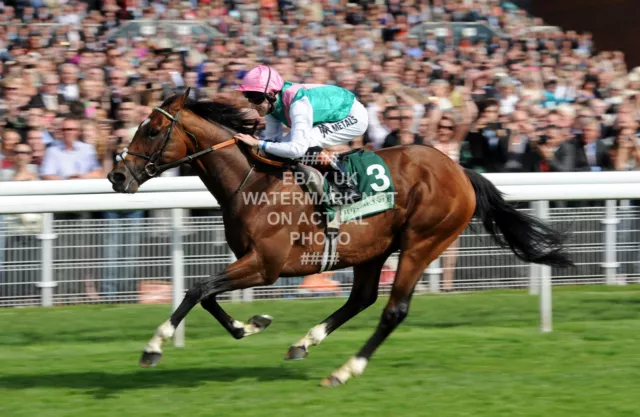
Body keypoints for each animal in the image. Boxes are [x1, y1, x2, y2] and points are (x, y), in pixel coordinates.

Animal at [107, 89, 572, 388]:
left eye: (152, 130)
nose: (116, 176)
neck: (253, 180)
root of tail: (459, 170)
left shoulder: (265, 265)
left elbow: (197, 289)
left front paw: (153, 347)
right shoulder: (249, 261)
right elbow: (206, 295)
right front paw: (251, 325)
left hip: (423, 242)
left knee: (393, 311)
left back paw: (344, 370)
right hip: (373, 249)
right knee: (361, 299)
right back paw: (304, 343)